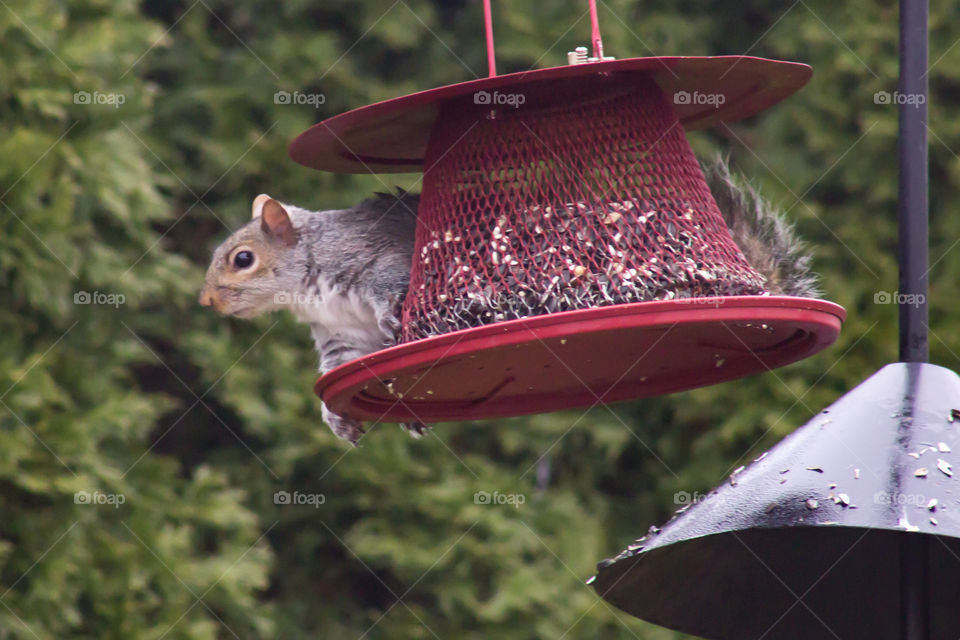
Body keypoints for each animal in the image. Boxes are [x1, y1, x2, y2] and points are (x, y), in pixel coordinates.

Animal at [201, 157, 816, 444]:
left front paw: (394, 318)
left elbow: (390, 285)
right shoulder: (338, 337)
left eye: (242, 259)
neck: (311, 285)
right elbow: (339, 368)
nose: (206, 302)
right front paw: (336, 419)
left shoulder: (372, 260)